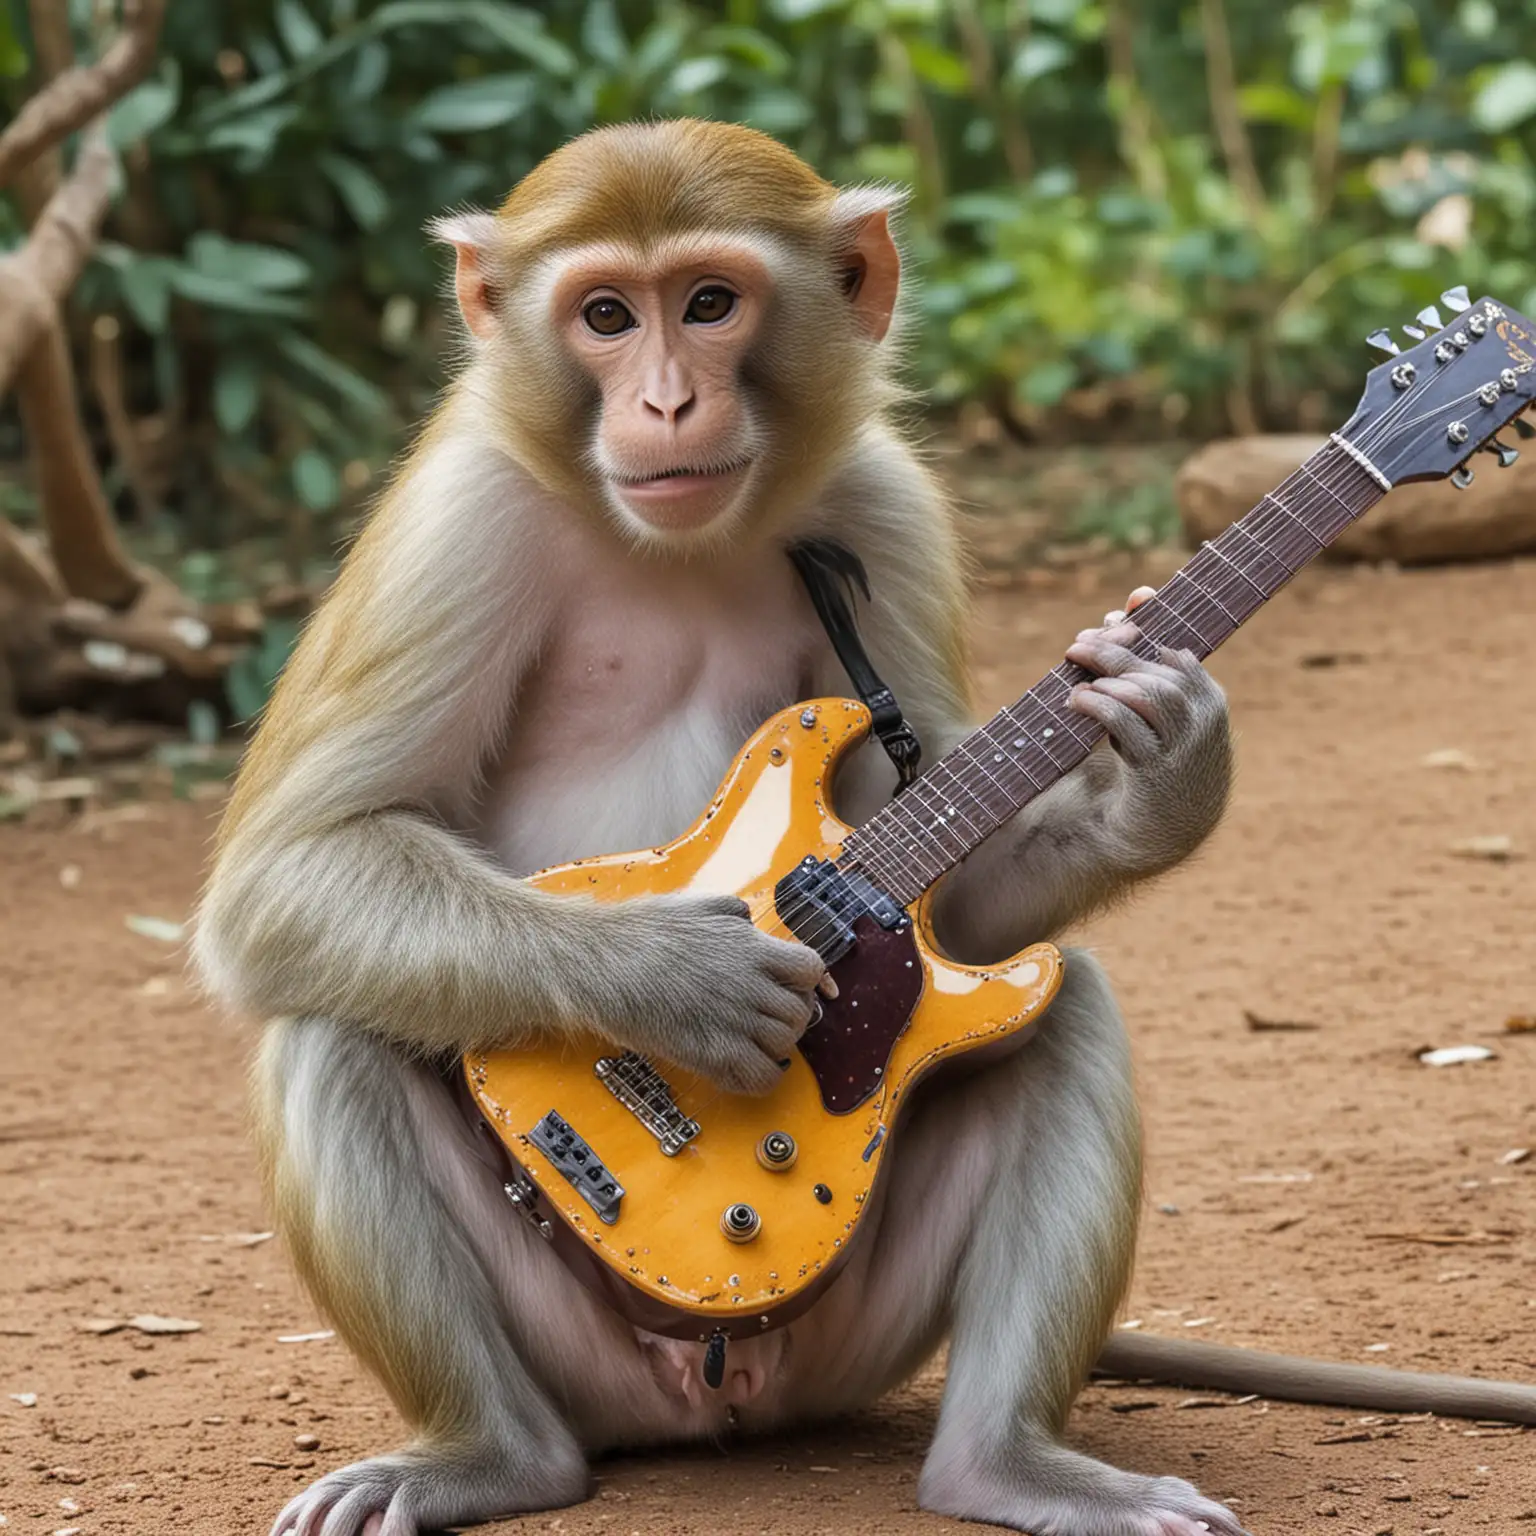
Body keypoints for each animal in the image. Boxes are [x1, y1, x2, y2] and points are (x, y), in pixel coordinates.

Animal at [192, 122, 1536, 1536]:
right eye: (607, 317)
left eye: (709, 305)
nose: (665, 402)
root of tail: (712, 1380)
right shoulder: (459, 518)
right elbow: (293, 868)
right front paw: (687, 977)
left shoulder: (886, 500)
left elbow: (961, 893)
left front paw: (1167, 763)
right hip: (586, 1349)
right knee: (331, 1031)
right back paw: (485, 1453)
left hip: (847, 1348)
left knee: (1066, 1012)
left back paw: (1006, 1462)